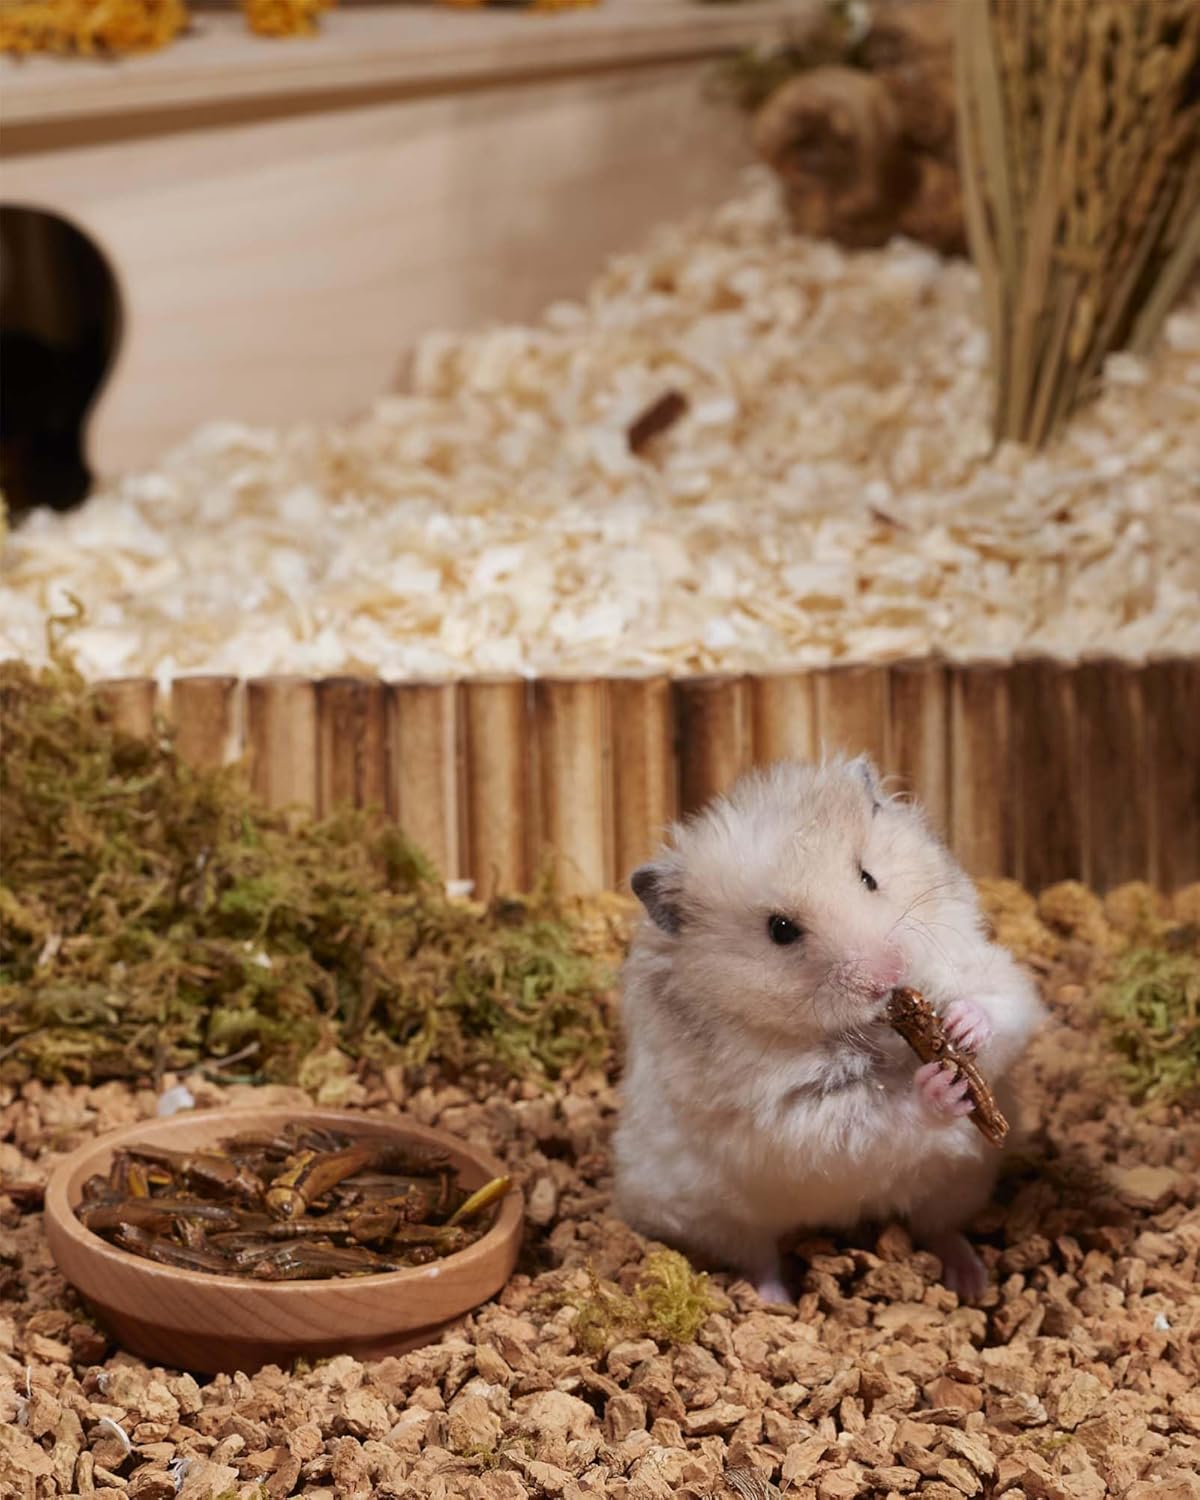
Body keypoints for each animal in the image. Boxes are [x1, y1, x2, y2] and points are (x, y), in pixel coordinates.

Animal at [611, 754, 1045, 1303]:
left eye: (868, 877)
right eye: (781, 930)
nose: (889, 974)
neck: (879, 1027)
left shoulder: (983, 963)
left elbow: (1002, 1002)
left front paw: (962, 1027)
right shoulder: (791, 1112)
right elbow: (862, 1117)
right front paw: (939, 1087)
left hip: (959, 1182)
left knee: (939, 1228)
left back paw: (970, 1280)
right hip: (716, 1219)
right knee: (759, 1257)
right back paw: (774, 1300)